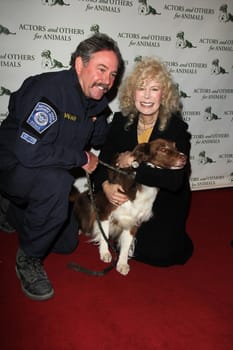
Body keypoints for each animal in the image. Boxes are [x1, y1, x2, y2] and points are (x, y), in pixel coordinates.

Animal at [74, 138, 187, 274]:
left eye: (175, 146)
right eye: (163, 149)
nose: (185, 158)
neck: (142, 184)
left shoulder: (134, 220)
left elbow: (127, 243)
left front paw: (122, 263)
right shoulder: (105, 211)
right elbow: (104, 233)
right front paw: (105, 253)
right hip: (87, 201)